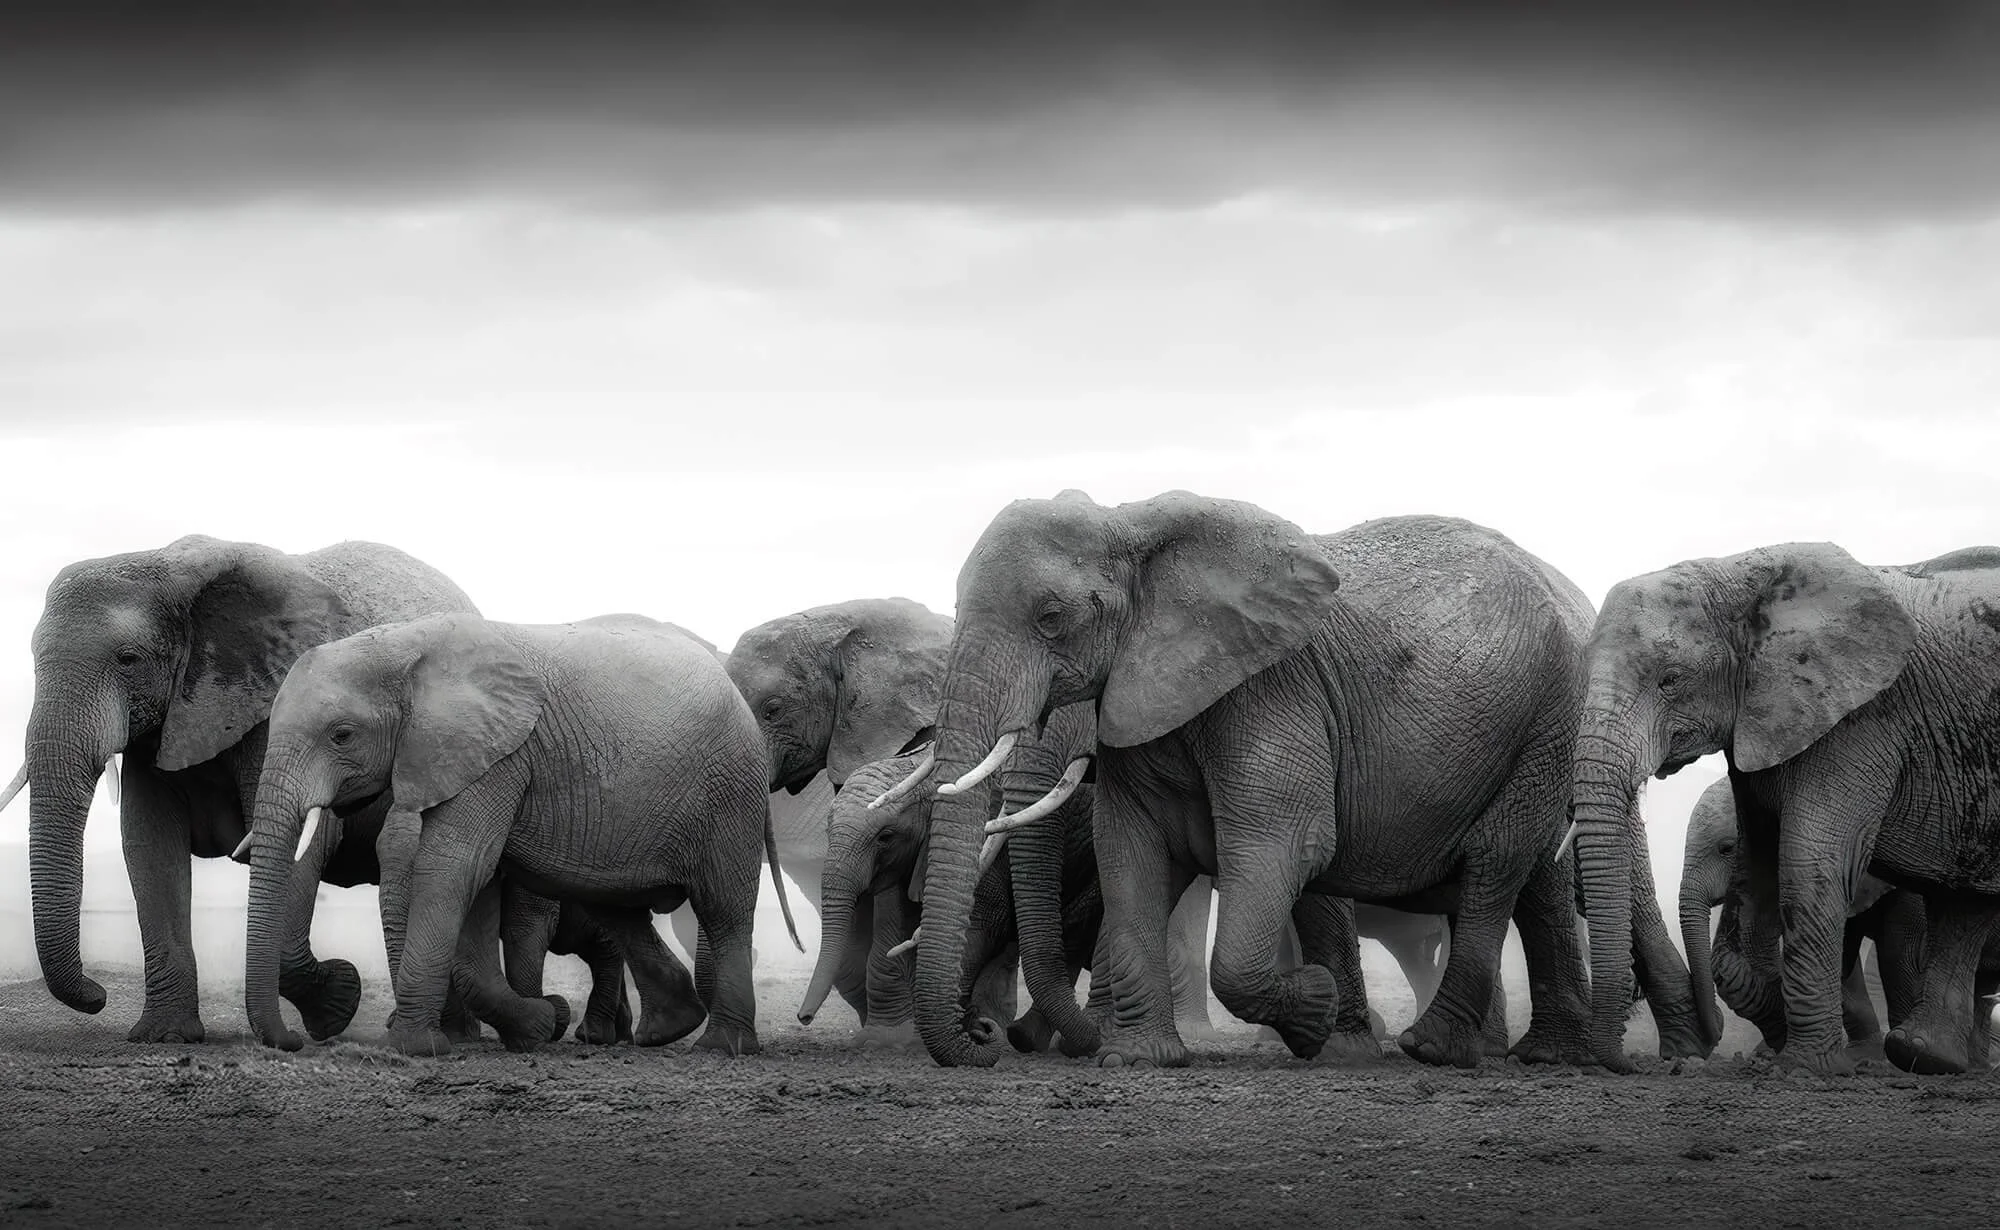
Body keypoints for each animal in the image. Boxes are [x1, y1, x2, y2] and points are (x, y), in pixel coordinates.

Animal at [0, 534, 484, 1044]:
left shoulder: (280, 702)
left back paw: (450, 1034)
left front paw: (337, 1004)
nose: (97, 996)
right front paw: (166, 1036)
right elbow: (150, 845)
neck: (170, 569)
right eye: (34, 661)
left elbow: (301, 838)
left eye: (127, 659)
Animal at [240, 611, 794, 1057]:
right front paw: (537, 1026)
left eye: (342, 735)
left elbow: (456, 865)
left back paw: (722, 1046)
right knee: (619, 910)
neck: (405, 645)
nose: (292, 1043)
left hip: (731, 790)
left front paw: (414, 1048)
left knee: (723, 909)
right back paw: (665, 1030)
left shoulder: (500, 755)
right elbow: (478, 884)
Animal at [892, 491, 1615, 1070]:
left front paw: (1317, 1012)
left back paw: (1434, 1050)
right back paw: (1527, 1053)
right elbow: (1130, 851)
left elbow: (1288, 845)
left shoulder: (1271, 691)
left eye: (1050, 618)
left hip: (1552, 715)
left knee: (1495, 859)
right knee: (1525, 878)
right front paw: (1138, 1060)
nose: (986, 1038)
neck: (1130, 525)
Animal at [1570, 542, 2000, 1074]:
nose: (1635, 1064)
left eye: (1670, 679)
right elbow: (1760, 869)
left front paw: (1806, 1066)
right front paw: (1785, 1048)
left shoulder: (1859, 720)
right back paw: (1929, 1055)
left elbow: (1807, 865)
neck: (1743, 576)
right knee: (1967, 903)